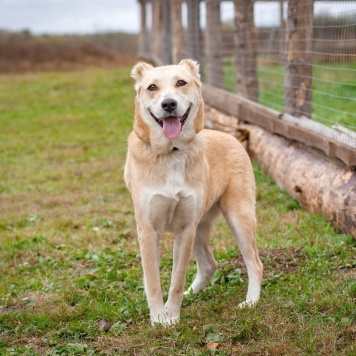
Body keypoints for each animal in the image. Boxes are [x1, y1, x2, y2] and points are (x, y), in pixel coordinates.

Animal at [124, 59, 262, 326]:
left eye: (181, 82)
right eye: (152, 87)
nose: (168, 104)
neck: (172, 152)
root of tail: (229, 136)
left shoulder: (185, 230)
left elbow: (176, 280)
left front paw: (172, 316)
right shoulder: (148, 230)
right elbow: (153, 282)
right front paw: (159, 318)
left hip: (238, 217)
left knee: (255, 263)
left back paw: (251, 302)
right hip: (202, 227)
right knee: (209, 265)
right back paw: (191, 294)